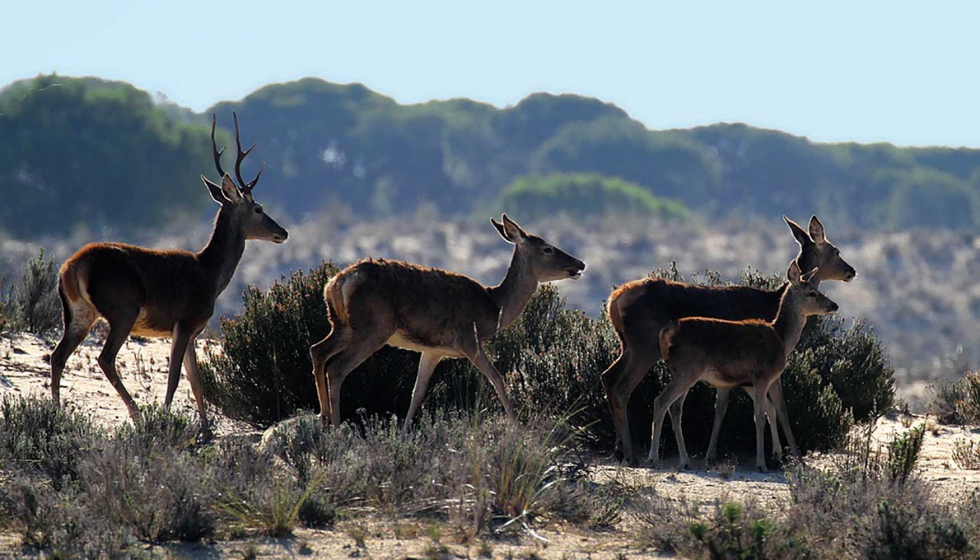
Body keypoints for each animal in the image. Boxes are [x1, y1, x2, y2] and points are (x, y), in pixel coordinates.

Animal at [49, 111, 288, 430]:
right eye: (258, 208)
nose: (283, 232)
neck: (210, 274)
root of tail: (72, 268)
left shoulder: (193, 331)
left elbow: (196, 382)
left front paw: (206, 429)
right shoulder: (185, 321)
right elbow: (175, 378)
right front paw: (167, 418)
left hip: (79, 312)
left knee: (57, 355)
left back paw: (56, 412)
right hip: (123, 308)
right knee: (105, 358)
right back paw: (138, 414)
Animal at [310, 214, 584, 428]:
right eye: (547, 248)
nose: (580, 263)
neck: (494, 307)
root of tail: (337, 282)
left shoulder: (434, 349)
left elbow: (417, 391)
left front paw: (404, 433)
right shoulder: (468, 339)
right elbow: (497, 378)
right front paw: (518, 430)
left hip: (343, 325)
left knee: (317, 350)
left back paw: (323, 418)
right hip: (373, 328)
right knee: (337, 367)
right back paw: (336, 427)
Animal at [656, 260, 840, 470]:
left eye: (818, 289)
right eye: (812, 293)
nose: (834, 305)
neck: (781, 338)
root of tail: (667, 332)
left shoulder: (762, 381)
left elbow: (777, 411)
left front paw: (788, 457)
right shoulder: (762, 375)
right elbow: (759, 416)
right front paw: (762, 463)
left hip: (684, 373)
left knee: (674, 407)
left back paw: (684, 461)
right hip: (687, 371)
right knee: (662, 401)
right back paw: (654, 458)